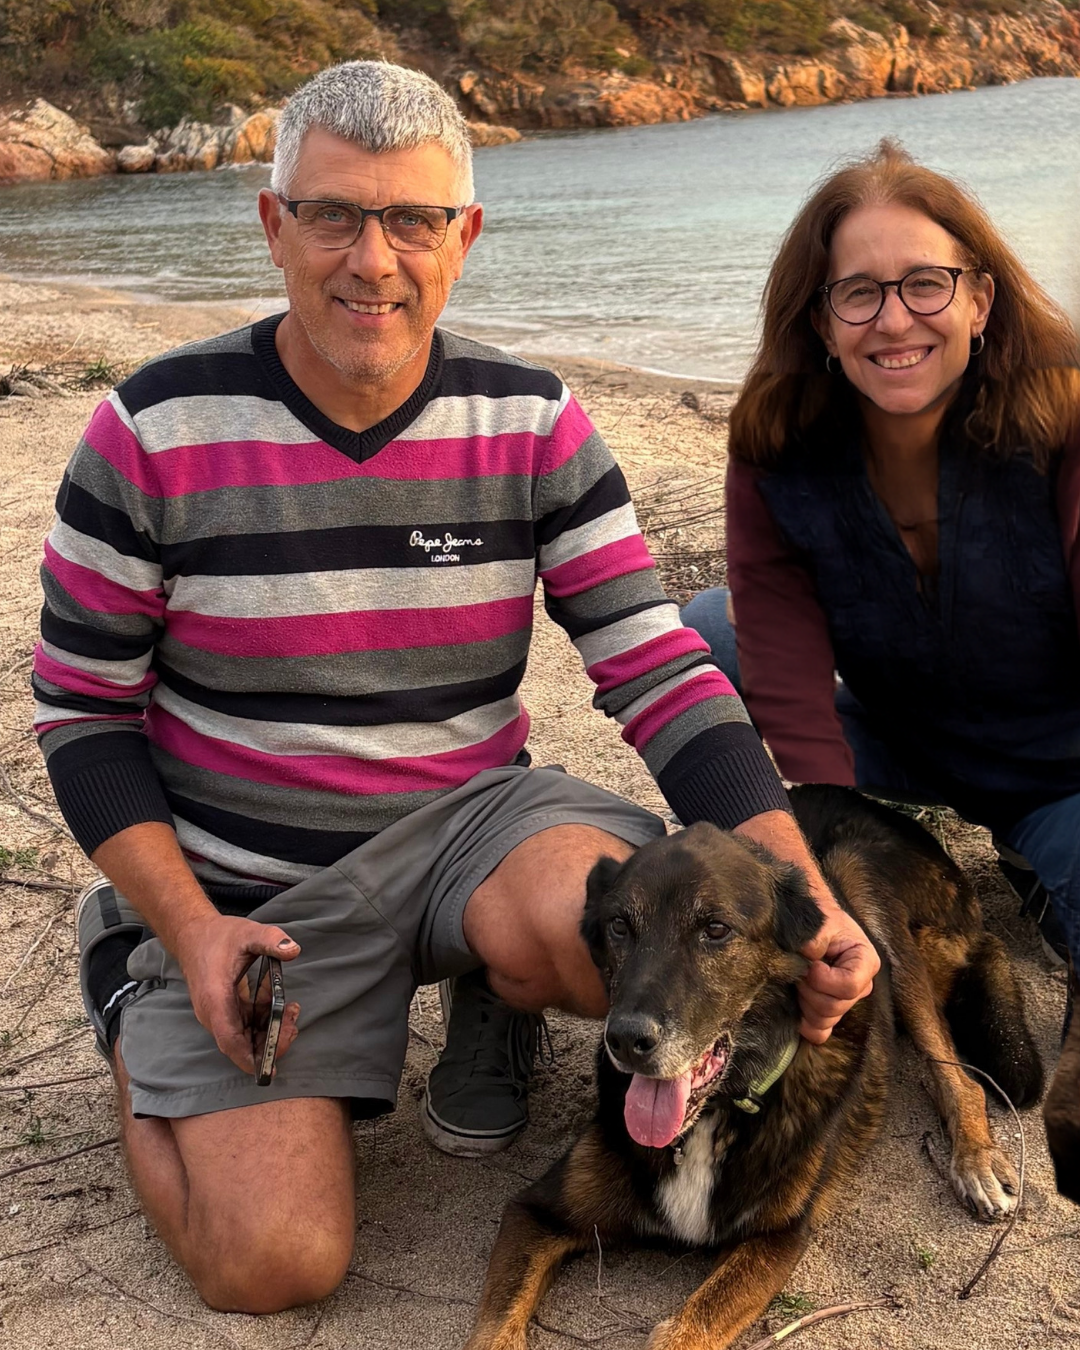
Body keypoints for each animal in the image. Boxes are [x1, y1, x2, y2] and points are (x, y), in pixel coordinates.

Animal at [464, 785, 1043, 1350]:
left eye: (716, 929)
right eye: (619, 927)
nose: (625, 1040)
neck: (711, 1117)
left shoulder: (777, 1238)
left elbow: (683, 1332)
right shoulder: (537, 1212)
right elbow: (494, 1333)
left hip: (869, 903)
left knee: (960, 1077)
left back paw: (976, 1161)